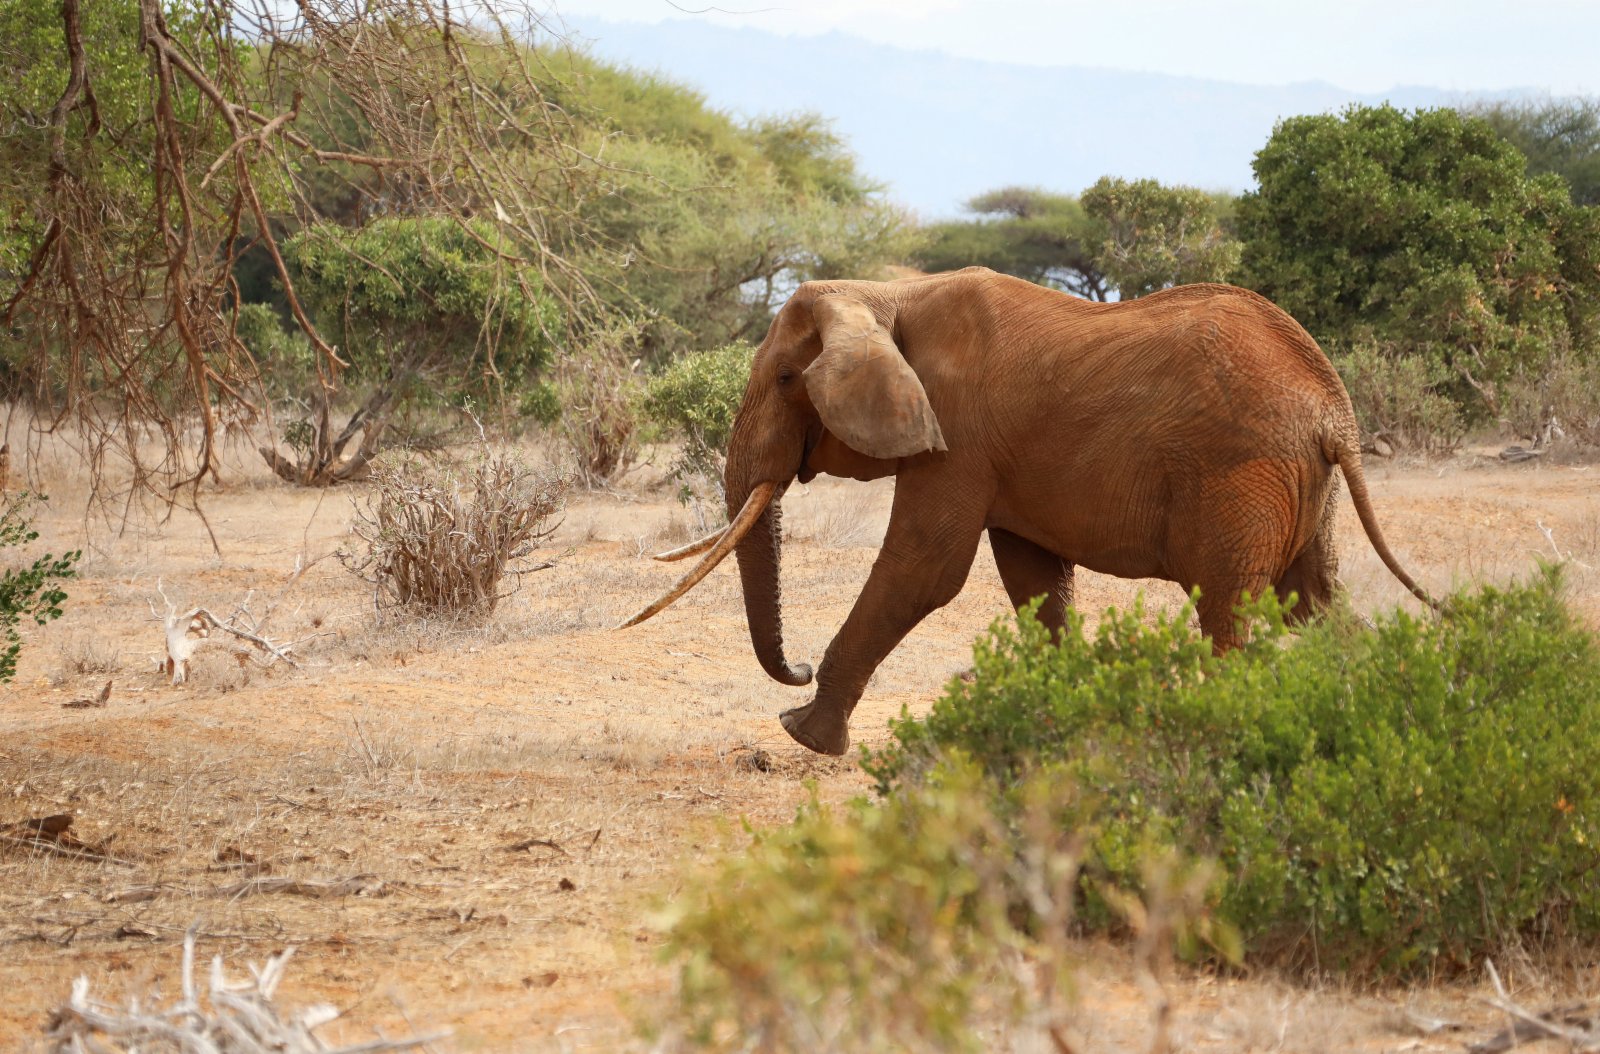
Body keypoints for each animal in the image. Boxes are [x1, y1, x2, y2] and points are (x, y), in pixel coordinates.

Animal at [624, 268, 1440, 754]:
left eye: (788, 378)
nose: (792, 669)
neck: (886, 295)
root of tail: (1336, 416)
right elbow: (1033, 577)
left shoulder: (957, 432)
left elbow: (924, 569)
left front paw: (803, 736)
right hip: (1301, 490)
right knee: (1316, 604)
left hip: (1244, 480)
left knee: (1230, 612)